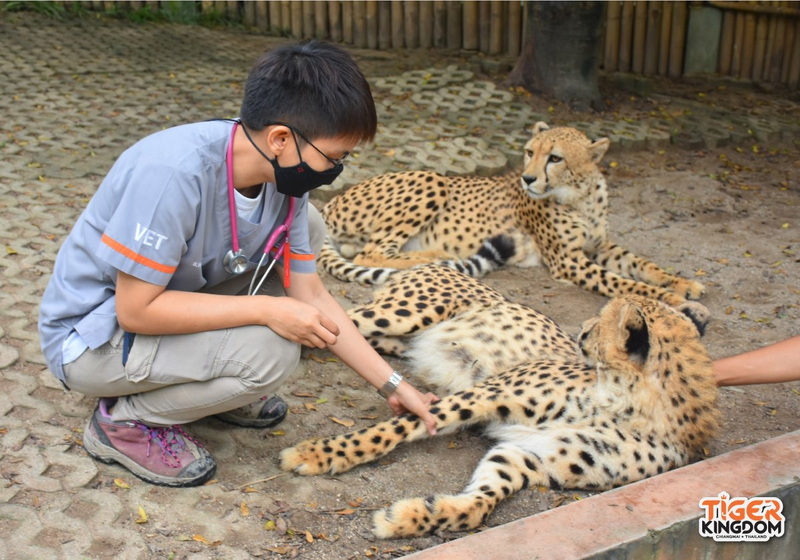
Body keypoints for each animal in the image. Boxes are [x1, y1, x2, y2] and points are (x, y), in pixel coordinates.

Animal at [281, 293, 718, 538]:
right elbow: (393, 429)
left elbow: (482, 502)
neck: (622, 402)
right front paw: (318, 454)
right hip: (394, 314)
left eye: (601, 324)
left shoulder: (534, 456)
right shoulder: (484, 393)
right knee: (329, 315)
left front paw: (415, 516)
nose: (582, 328)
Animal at [319, 121, 705, 306]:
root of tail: (328, 205)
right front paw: (670, 298)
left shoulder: (600, 246)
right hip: (432, 179)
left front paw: (682, 283)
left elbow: (644, 265)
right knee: (373, 252)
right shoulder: (569, 262)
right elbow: (623, 283)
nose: (527, 178)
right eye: (529, 151)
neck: (580, 196)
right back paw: (434, 256)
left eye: (555, 157)